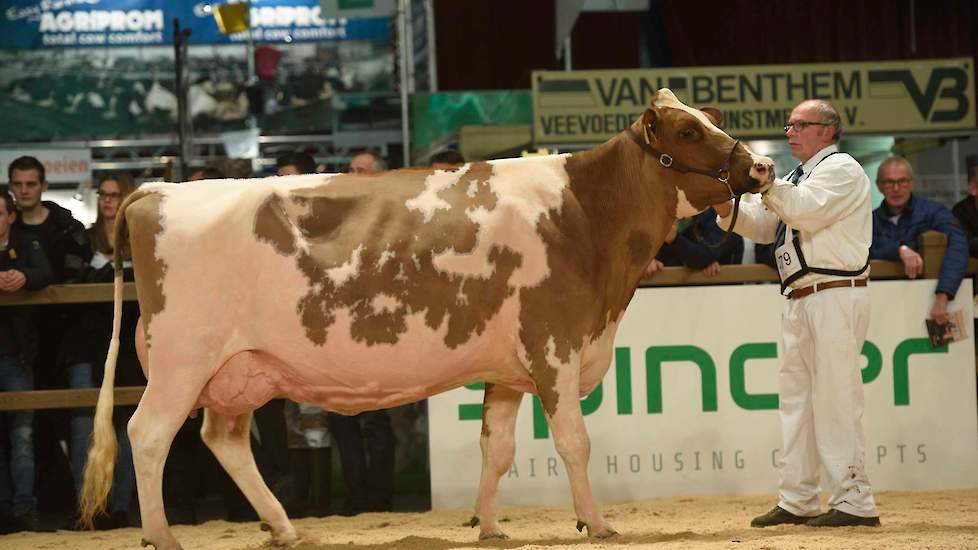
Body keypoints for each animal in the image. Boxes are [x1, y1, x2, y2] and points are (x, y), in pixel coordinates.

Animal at [80, 88, 772, 548]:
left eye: (711, 120)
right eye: (687, 133)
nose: (762, 166)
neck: (584, 213)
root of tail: (157, 190)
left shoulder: (509, 367)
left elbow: (497, 447)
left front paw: (489, 526)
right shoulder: (554, 345)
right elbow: (574, 442)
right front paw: (598, 522)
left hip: (239, 368)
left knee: (221, 439)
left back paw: (283, 528)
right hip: (183, 358)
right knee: (148, 433)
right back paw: (162, 535)